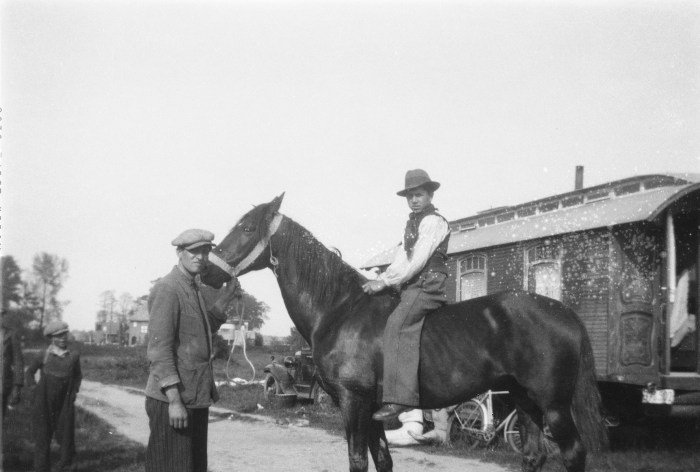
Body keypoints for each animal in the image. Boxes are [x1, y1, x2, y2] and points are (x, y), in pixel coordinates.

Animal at [202, 195, 608, 472]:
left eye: (247, 229)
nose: (208, 271)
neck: (339, 309)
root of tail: (564, 311)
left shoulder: (354, 403)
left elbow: (357, 461)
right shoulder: (372, 412)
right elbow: (383, 460)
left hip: (554, 406)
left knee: (573, 454)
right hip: (525, 401)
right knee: (534, 455)